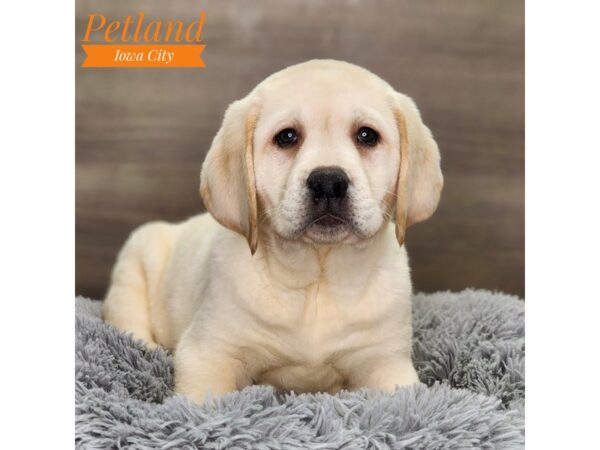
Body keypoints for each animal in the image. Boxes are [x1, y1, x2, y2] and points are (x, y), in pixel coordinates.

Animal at [102, 59, 440, 404]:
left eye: (367, 136)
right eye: (287, 137)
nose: (328, 181)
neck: (319, 279)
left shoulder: (386, 362)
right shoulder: (209, 352)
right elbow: (202, 402)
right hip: (133, 265)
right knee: (127, 321)